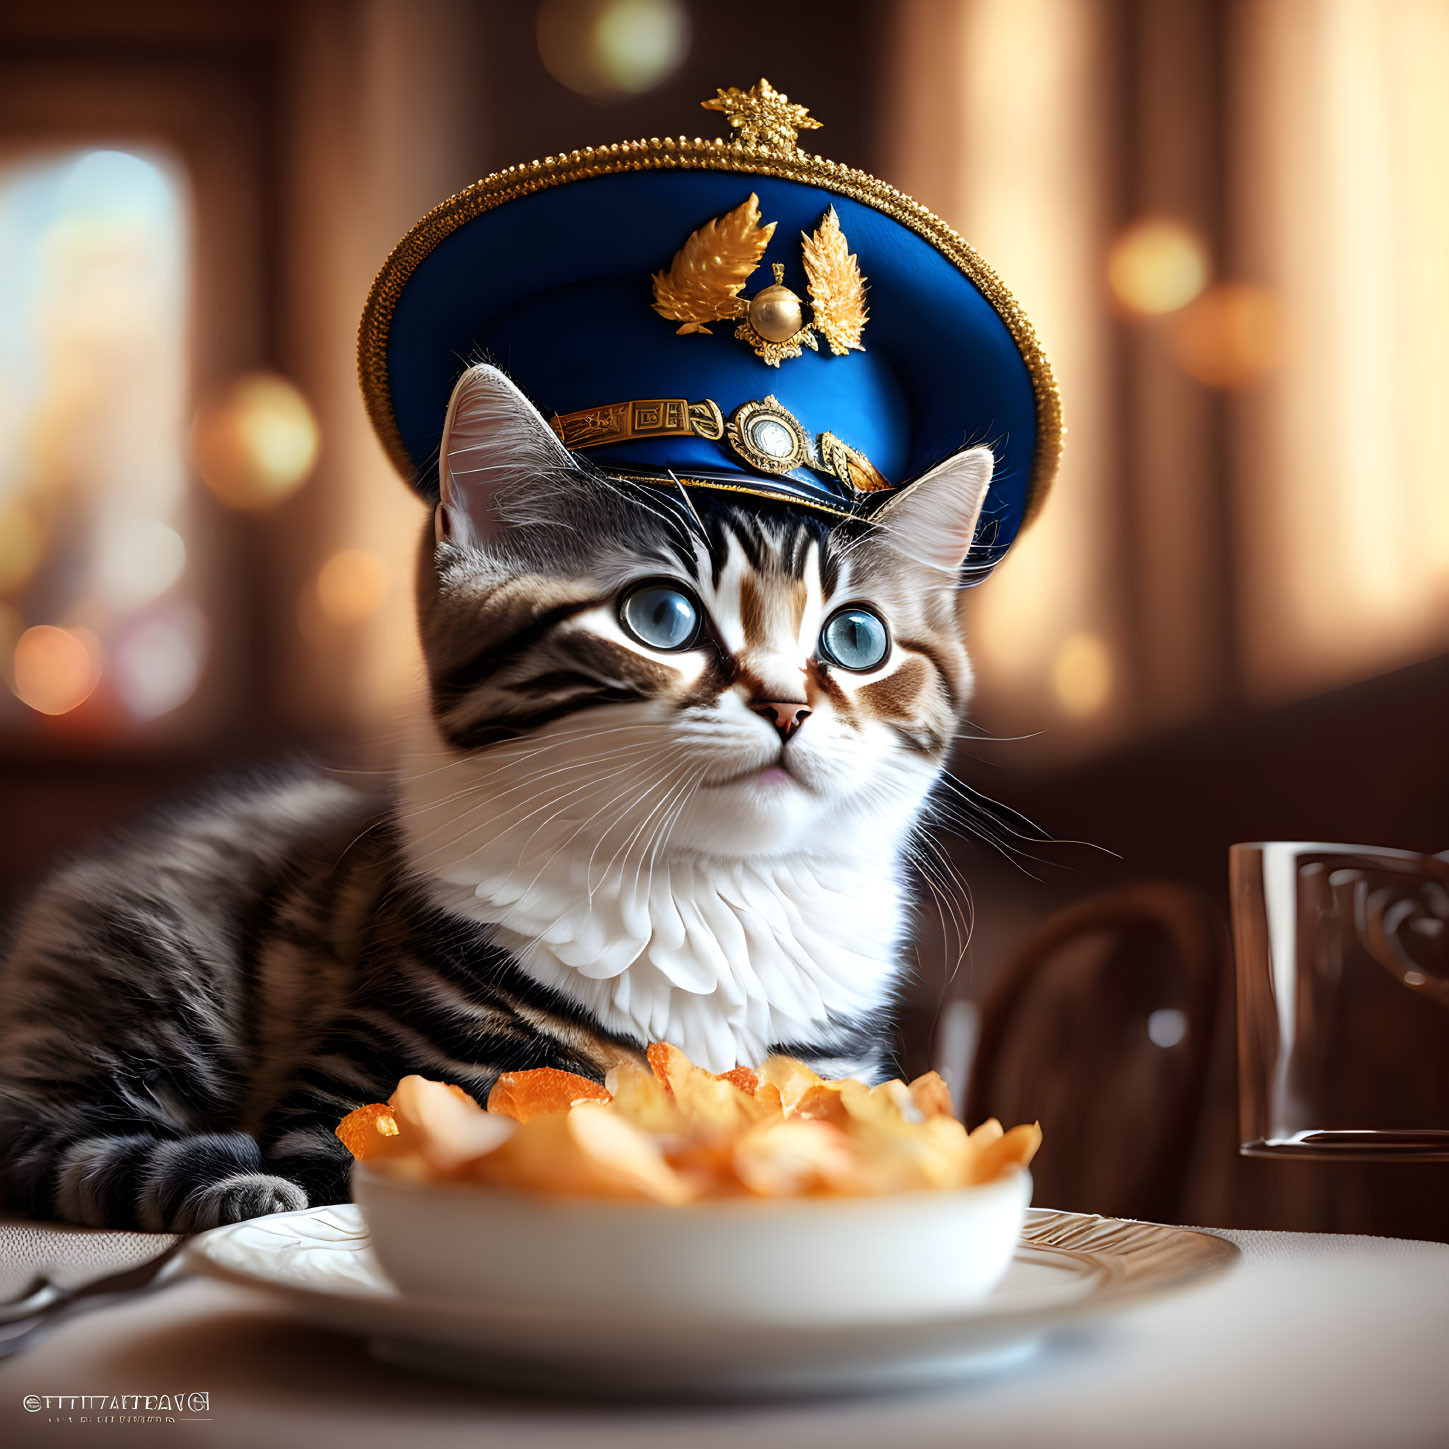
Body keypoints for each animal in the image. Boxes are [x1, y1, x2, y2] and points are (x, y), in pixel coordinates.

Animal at [0, 362, 991, 1222]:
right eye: (661, 617)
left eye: (856, 638)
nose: (787, 704)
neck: (712, 890)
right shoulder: (361, 1086)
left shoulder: (840, 1072)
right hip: (160, 974)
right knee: (44, 1140)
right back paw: (226, 1184)